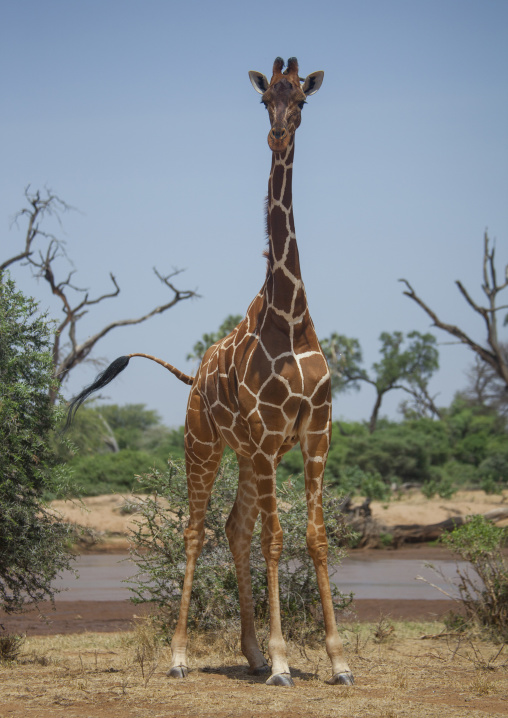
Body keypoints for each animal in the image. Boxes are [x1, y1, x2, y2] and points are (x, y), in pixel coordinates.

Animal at [66, 57, 353, 687]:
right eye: (266, 99)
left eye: (301, 100)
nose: (278, 134)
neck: (290, 317)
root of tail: (192, 379)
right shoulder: (272, 437)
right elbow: (277, 539)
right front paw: (283, 663)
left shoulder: (315, 433)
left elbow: (315, 537)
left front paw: (338, 661)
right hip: (203, 443)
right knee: (198, 529)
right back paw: (180, 657)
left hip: (243, 454)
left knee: (233, 527)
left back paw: (249, 652)